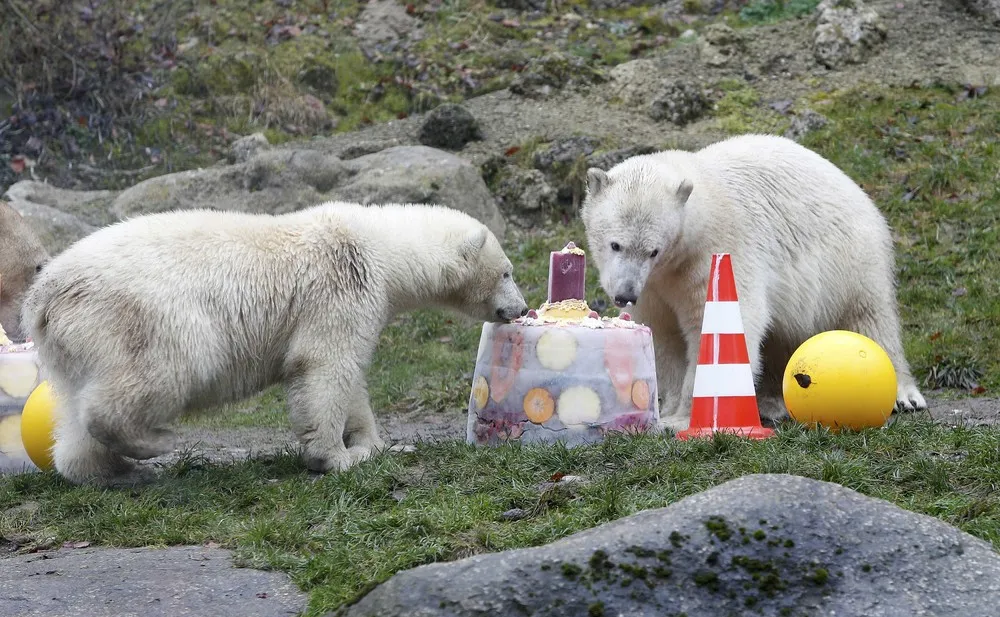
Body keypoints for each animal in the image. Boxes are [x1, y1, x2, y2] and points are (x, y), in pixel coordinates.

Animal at [19, 202, 528, 486]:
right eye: (507, 271)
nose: (521, 308)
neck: (379, 246)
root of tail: (45, 296)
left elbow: (352, 381)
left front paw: (376, 444)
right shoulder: (342, 286)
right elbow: (324, 365)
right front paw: (335, 458)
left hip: (73, 342)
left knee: (73, 409)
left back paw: (113, 471)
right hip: (143, 316)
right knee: (161, 372)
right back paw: (152, 444)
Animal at [580, 134, 928, 434]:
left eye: (653, 250)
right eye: (615, 245)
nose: (624, 294)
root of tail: (856, 188)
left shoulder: (718, 253)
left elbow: (720, 324)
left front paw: (683, 419)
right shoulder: (655, 286)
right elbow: (664, 336)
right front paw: (667, 413)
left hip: (849, 259)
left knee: (869, 316)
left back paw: (904, 394)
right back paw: (772, 402)